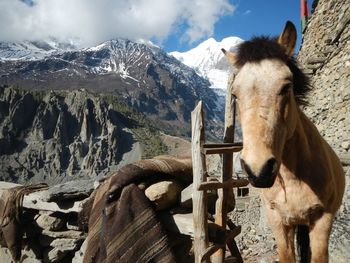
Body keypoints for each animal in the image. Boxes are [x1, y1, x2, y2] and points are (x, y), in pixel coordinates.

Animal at [221, 21, 344, 262]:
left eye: (286, 87)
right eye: (235, 95)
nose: (258, 170)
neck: (295, 178)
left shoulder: (322, 221)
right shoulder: (278, 222)